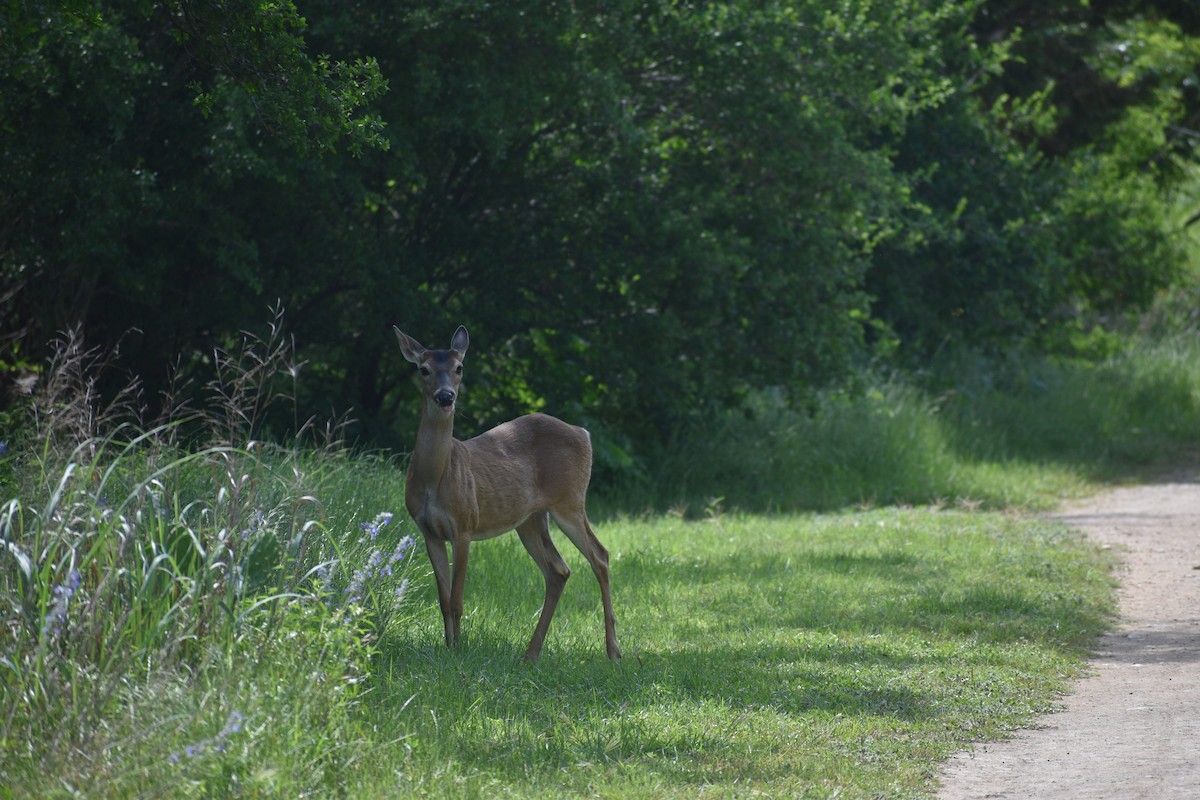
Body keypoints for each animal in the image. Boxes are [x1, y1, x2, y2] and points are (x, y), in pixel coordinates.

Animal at [393, 325, 621, 662]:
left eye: (459, 367)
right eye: (423, 369)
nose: (446, 396)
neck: (436, 477)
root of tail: (584, 433)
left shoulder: (464, 524)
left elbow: (457, 600)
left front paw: (458, 653)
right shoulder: (428, 531)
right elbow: (443, 600)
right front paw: (447, 649)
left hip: (570, 501)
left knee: (600, 555)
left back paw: (613, 651)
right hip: (530, 519)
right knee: (558, 570)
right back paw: (531, 654)